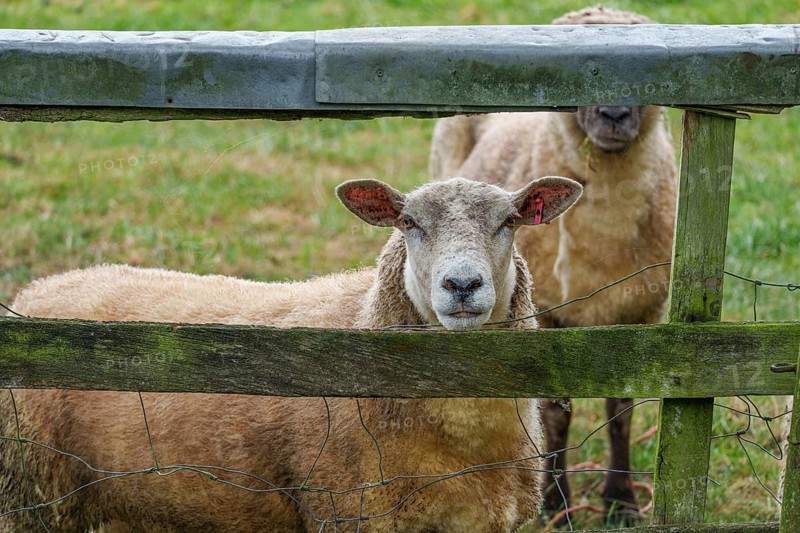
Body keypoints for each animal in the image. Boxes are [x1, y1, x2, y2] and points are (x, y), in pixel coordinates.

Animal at [1, 176, 583, 532]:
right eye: (409, 223)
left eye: (509, 221)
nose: (462, 285)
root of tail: (39, 291)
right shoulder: (349, 511)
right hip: (30, 495)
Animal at [429, 6, 677, 521]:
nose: (614, 115)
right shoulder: (548, 314)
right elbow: (557, 415)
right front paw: (553, 501)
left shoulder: (639, 313)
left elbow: (620, 412)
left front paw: (620, 501)